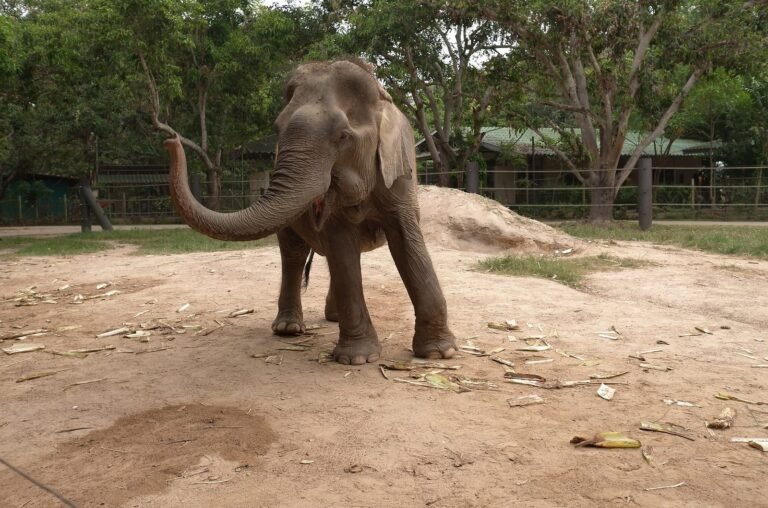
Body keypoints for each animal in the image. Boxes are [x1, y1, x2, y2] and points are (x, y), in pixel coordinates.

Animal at [164, 59, 457, 365]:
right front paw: (358, 359)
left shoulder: (400, 174)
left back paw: (333, 317)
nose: (171, 140)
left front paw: (439, 353)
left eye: (343, 136)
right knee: (294, 254)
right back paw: (289, 329)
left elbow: (407, 242)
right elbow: (341, 244)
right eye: (277, 129)